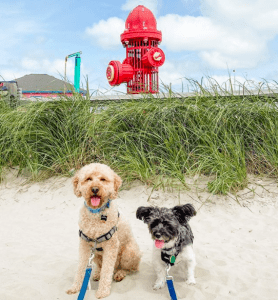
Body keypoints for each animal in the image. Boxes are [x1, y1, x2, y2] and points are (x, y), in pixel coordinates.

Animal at [66, 163, 141, 298]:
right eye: (88, 179)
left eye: (103, 179)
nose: (95, 189)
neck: (96, 213)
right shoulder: (84, 245)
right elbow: (81, 268)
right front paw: (75, 287)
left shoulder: (111, 246)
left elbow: (107, 270)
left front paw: (103, 292)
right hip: (95, 253)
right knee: (100, 266)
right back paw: (97, 274)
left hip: (130, 252)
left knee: (129, 268)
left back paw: (120, 273)